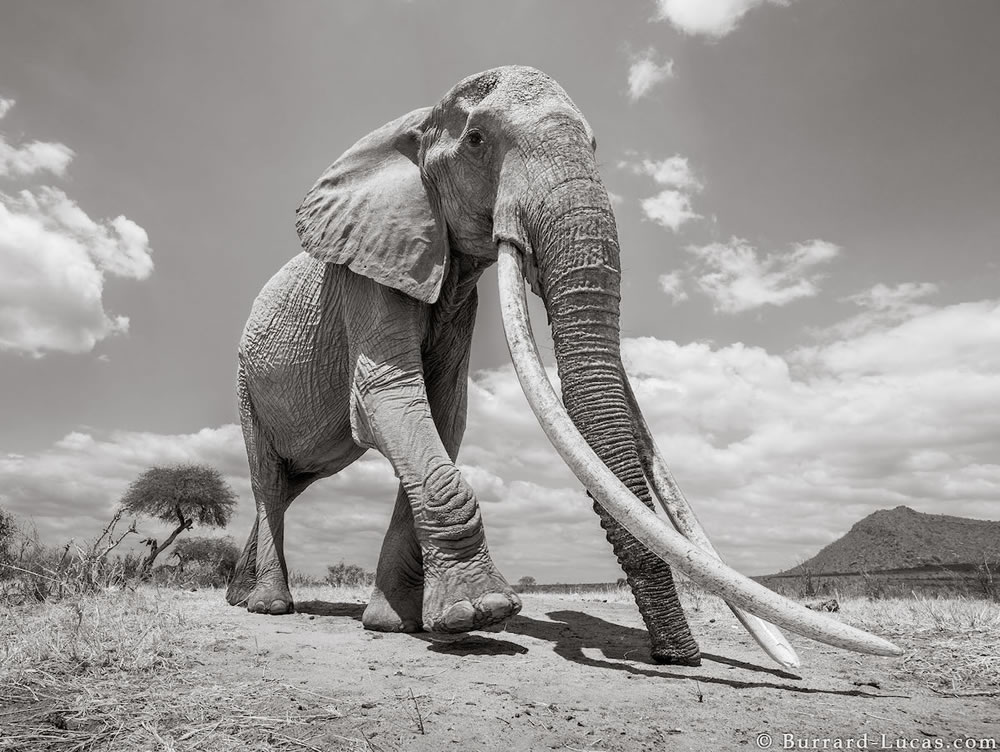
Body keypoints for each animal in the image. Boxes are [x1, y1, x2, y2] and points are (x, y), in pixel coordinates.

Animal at [227, 63, 900, 664]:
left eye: (596, 146)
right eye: (478, 140)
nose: (675, 658)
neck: (413, 125)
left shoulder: (455, 294)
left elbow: (444, 414)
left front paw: (398, 625)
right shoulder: (368, 272)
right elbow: (388, 398)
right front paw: (482, 614)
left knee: (289, 484)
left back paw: (242, 595)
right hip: (244, 386)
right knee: (268, 479)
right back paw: (269, 606)